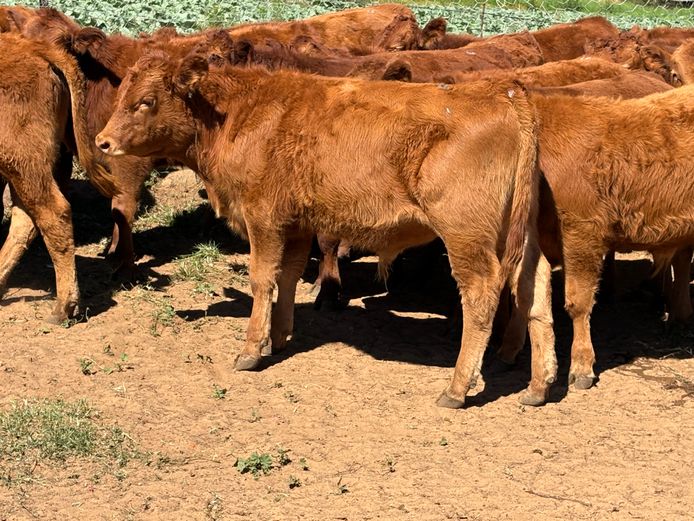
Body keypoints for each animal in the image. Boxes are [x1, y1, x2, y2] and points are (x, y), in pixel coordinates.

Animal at [0, 33, 111, 322]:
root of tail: (34, 47)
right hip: (22, 169)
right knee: (26, 220)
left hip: (23, 163)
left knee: (53, 213)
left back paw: (64, 308)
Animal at [94, 51, 547, 408]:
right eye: (122, 96)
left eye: (146, 102)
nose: (102, 141)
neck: (243, 114)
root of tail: (504, 95)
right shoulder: (297, 224)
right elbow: (289, 276)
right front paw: (279, 337)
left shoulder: (264, 218)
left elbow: (263, 279)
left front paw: (252, 349)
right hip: (524, 239)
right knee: (535, 292)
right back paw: (538, 385)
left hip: (466, 237)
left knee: (481, 295)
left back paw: (457, 387)